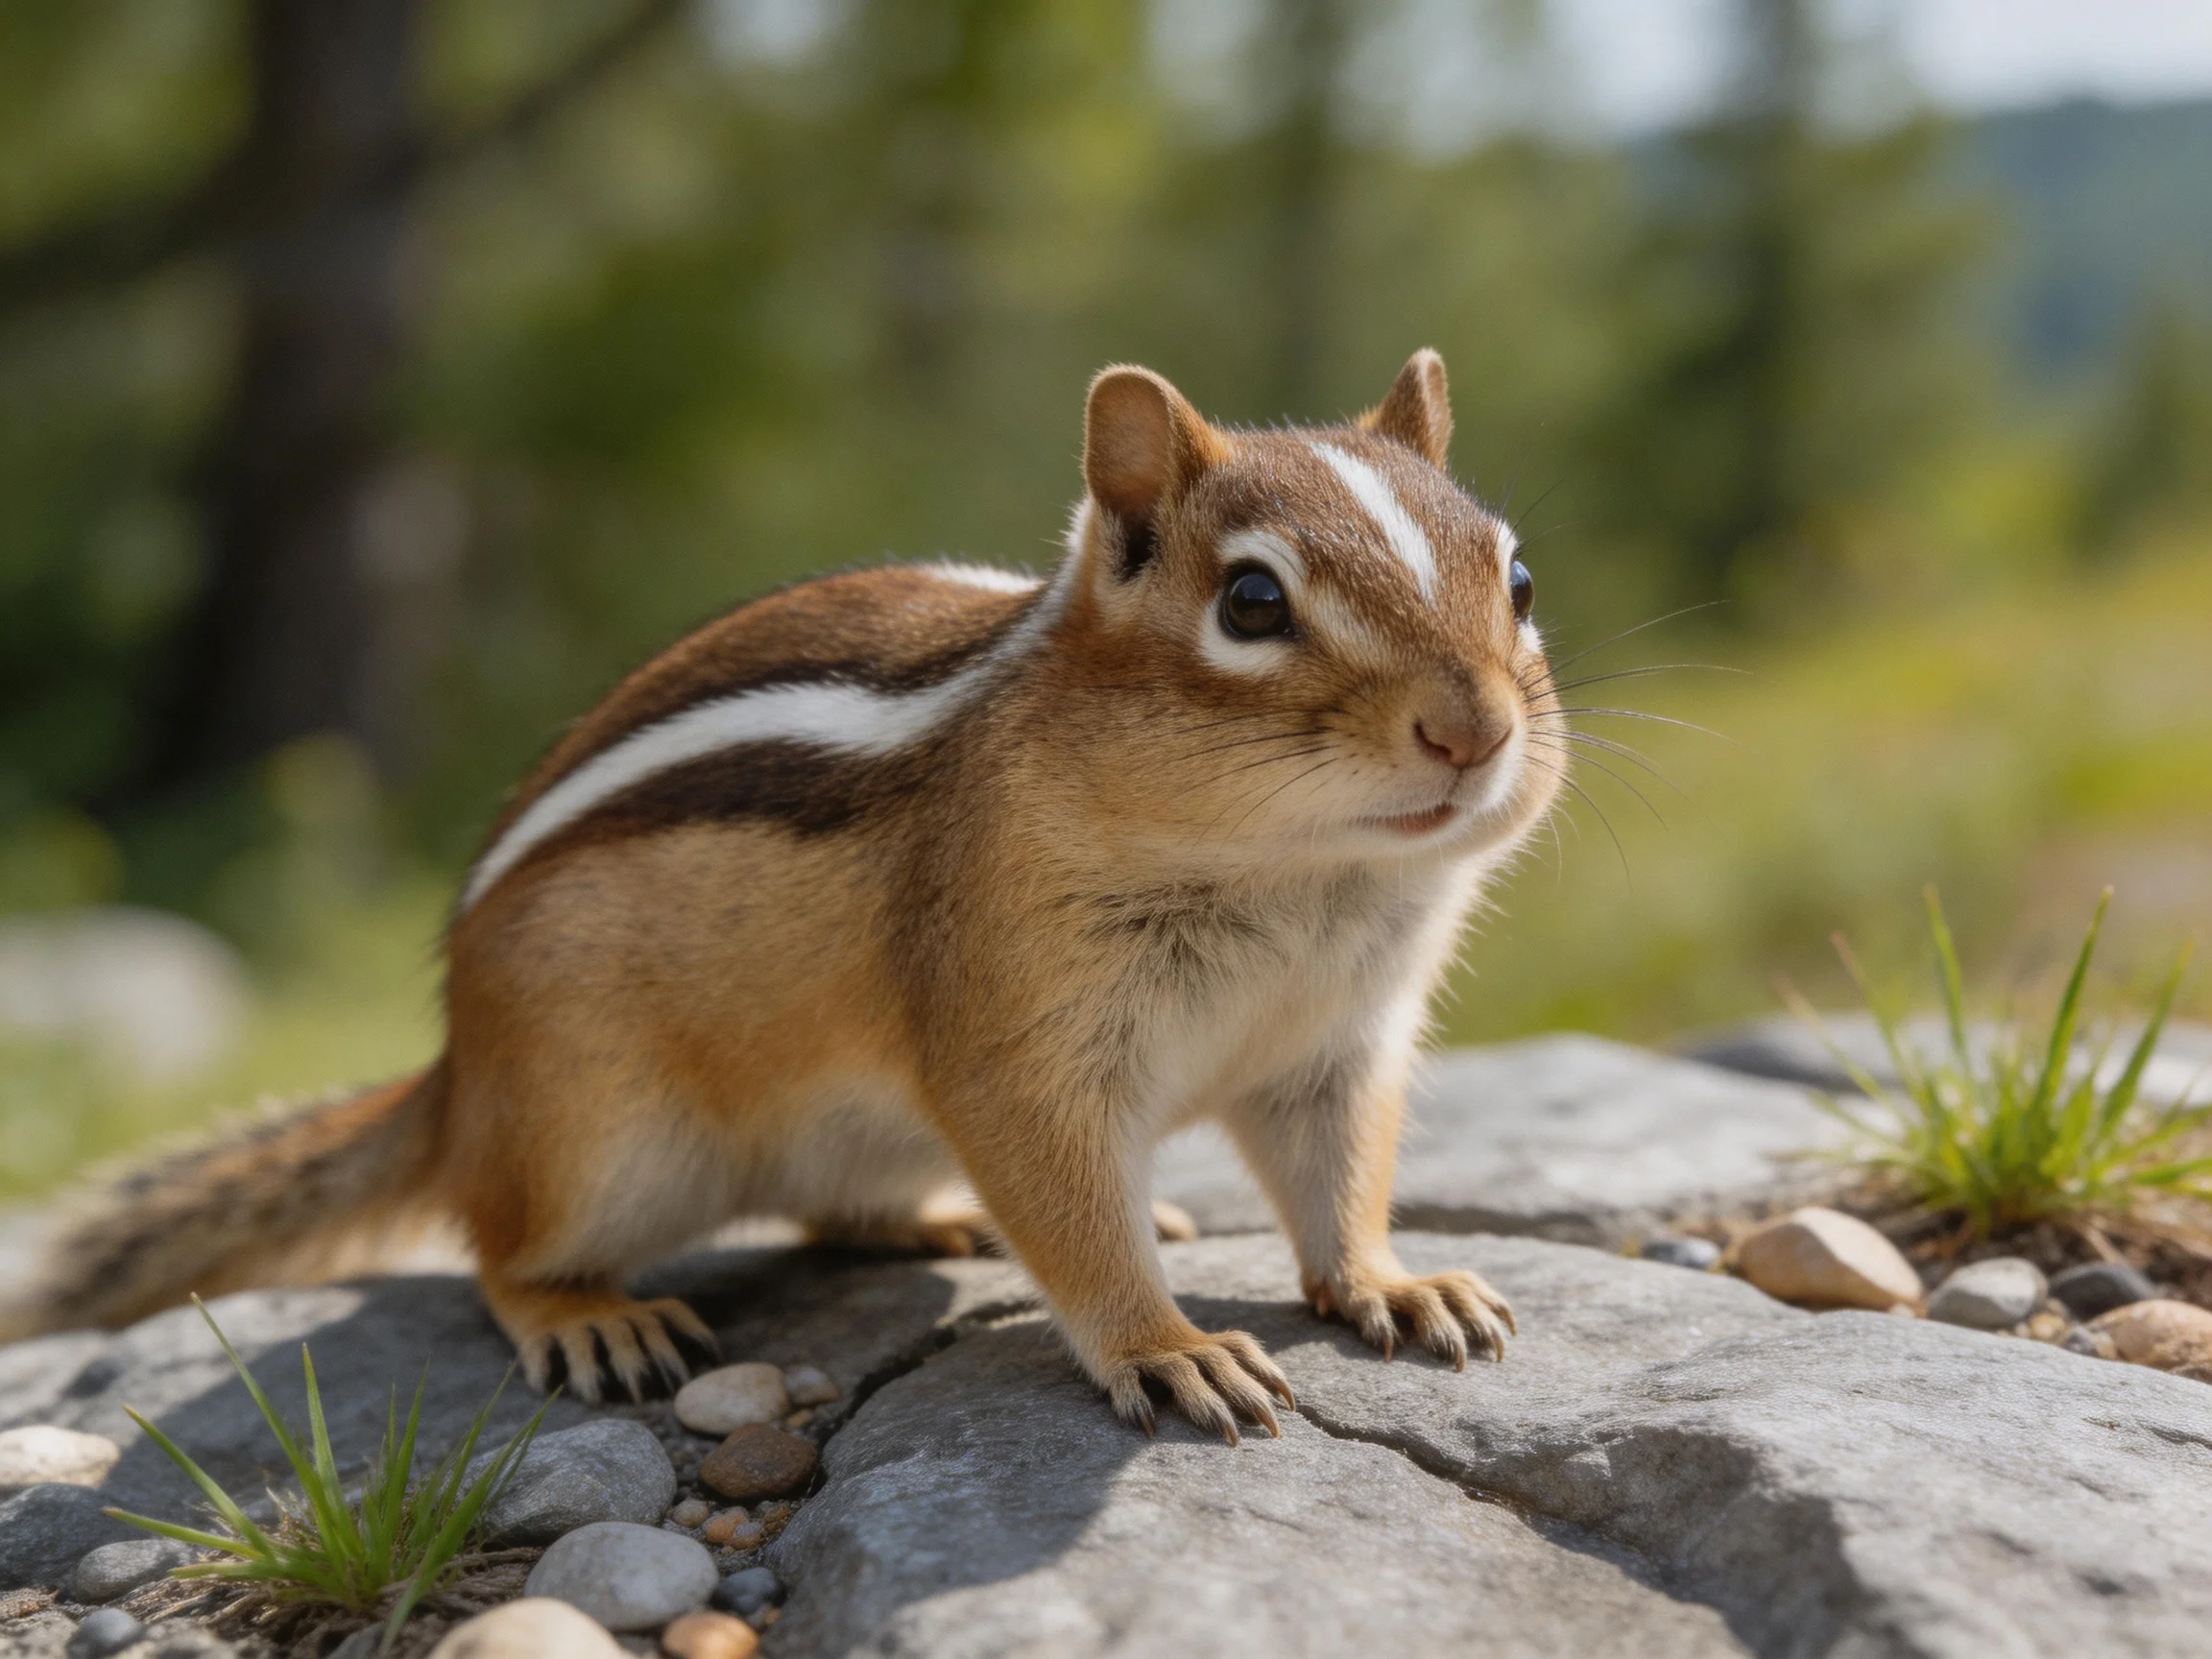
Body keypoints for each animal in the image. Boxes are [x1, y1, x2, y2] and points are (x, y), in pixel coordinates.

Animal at [5, 350, 1561, 1442]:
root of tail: (457, 1080)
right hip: (589, 1128)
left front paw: (1396, 1280)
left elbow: (1341, 1178)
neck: (1308, 876)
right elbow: (1069, 1205)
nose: (1473, 730)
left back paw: (946, 1220)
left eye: (1521, 578)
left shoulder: (1338, 1048)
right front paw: (1168, 1348)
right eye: (1250, 604)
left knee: (831, 1213)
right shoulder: (1017, 1042)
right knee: (497, 1246)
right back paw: (590, 1316)